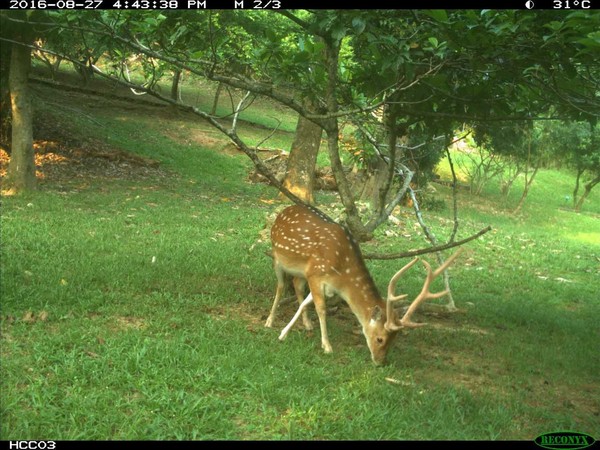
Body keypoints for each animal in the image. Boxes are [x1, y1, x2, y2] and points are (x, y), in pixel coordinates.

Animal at [264, 204, 464, 366]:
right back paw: (269, 320)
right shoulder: (316, 274)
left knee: (296, 284)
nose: (380, 362)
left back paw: (306, 324)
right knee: (281, 287)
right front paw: (326, 346)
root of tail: (283, 210)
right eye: (380, 339)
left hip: (299, 271)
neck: (342, 276)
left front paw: (284, 333)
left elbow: (306, 303)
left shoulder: (324, 284)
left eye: (395, 339)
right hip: (277, 257)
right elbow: (321, 309)